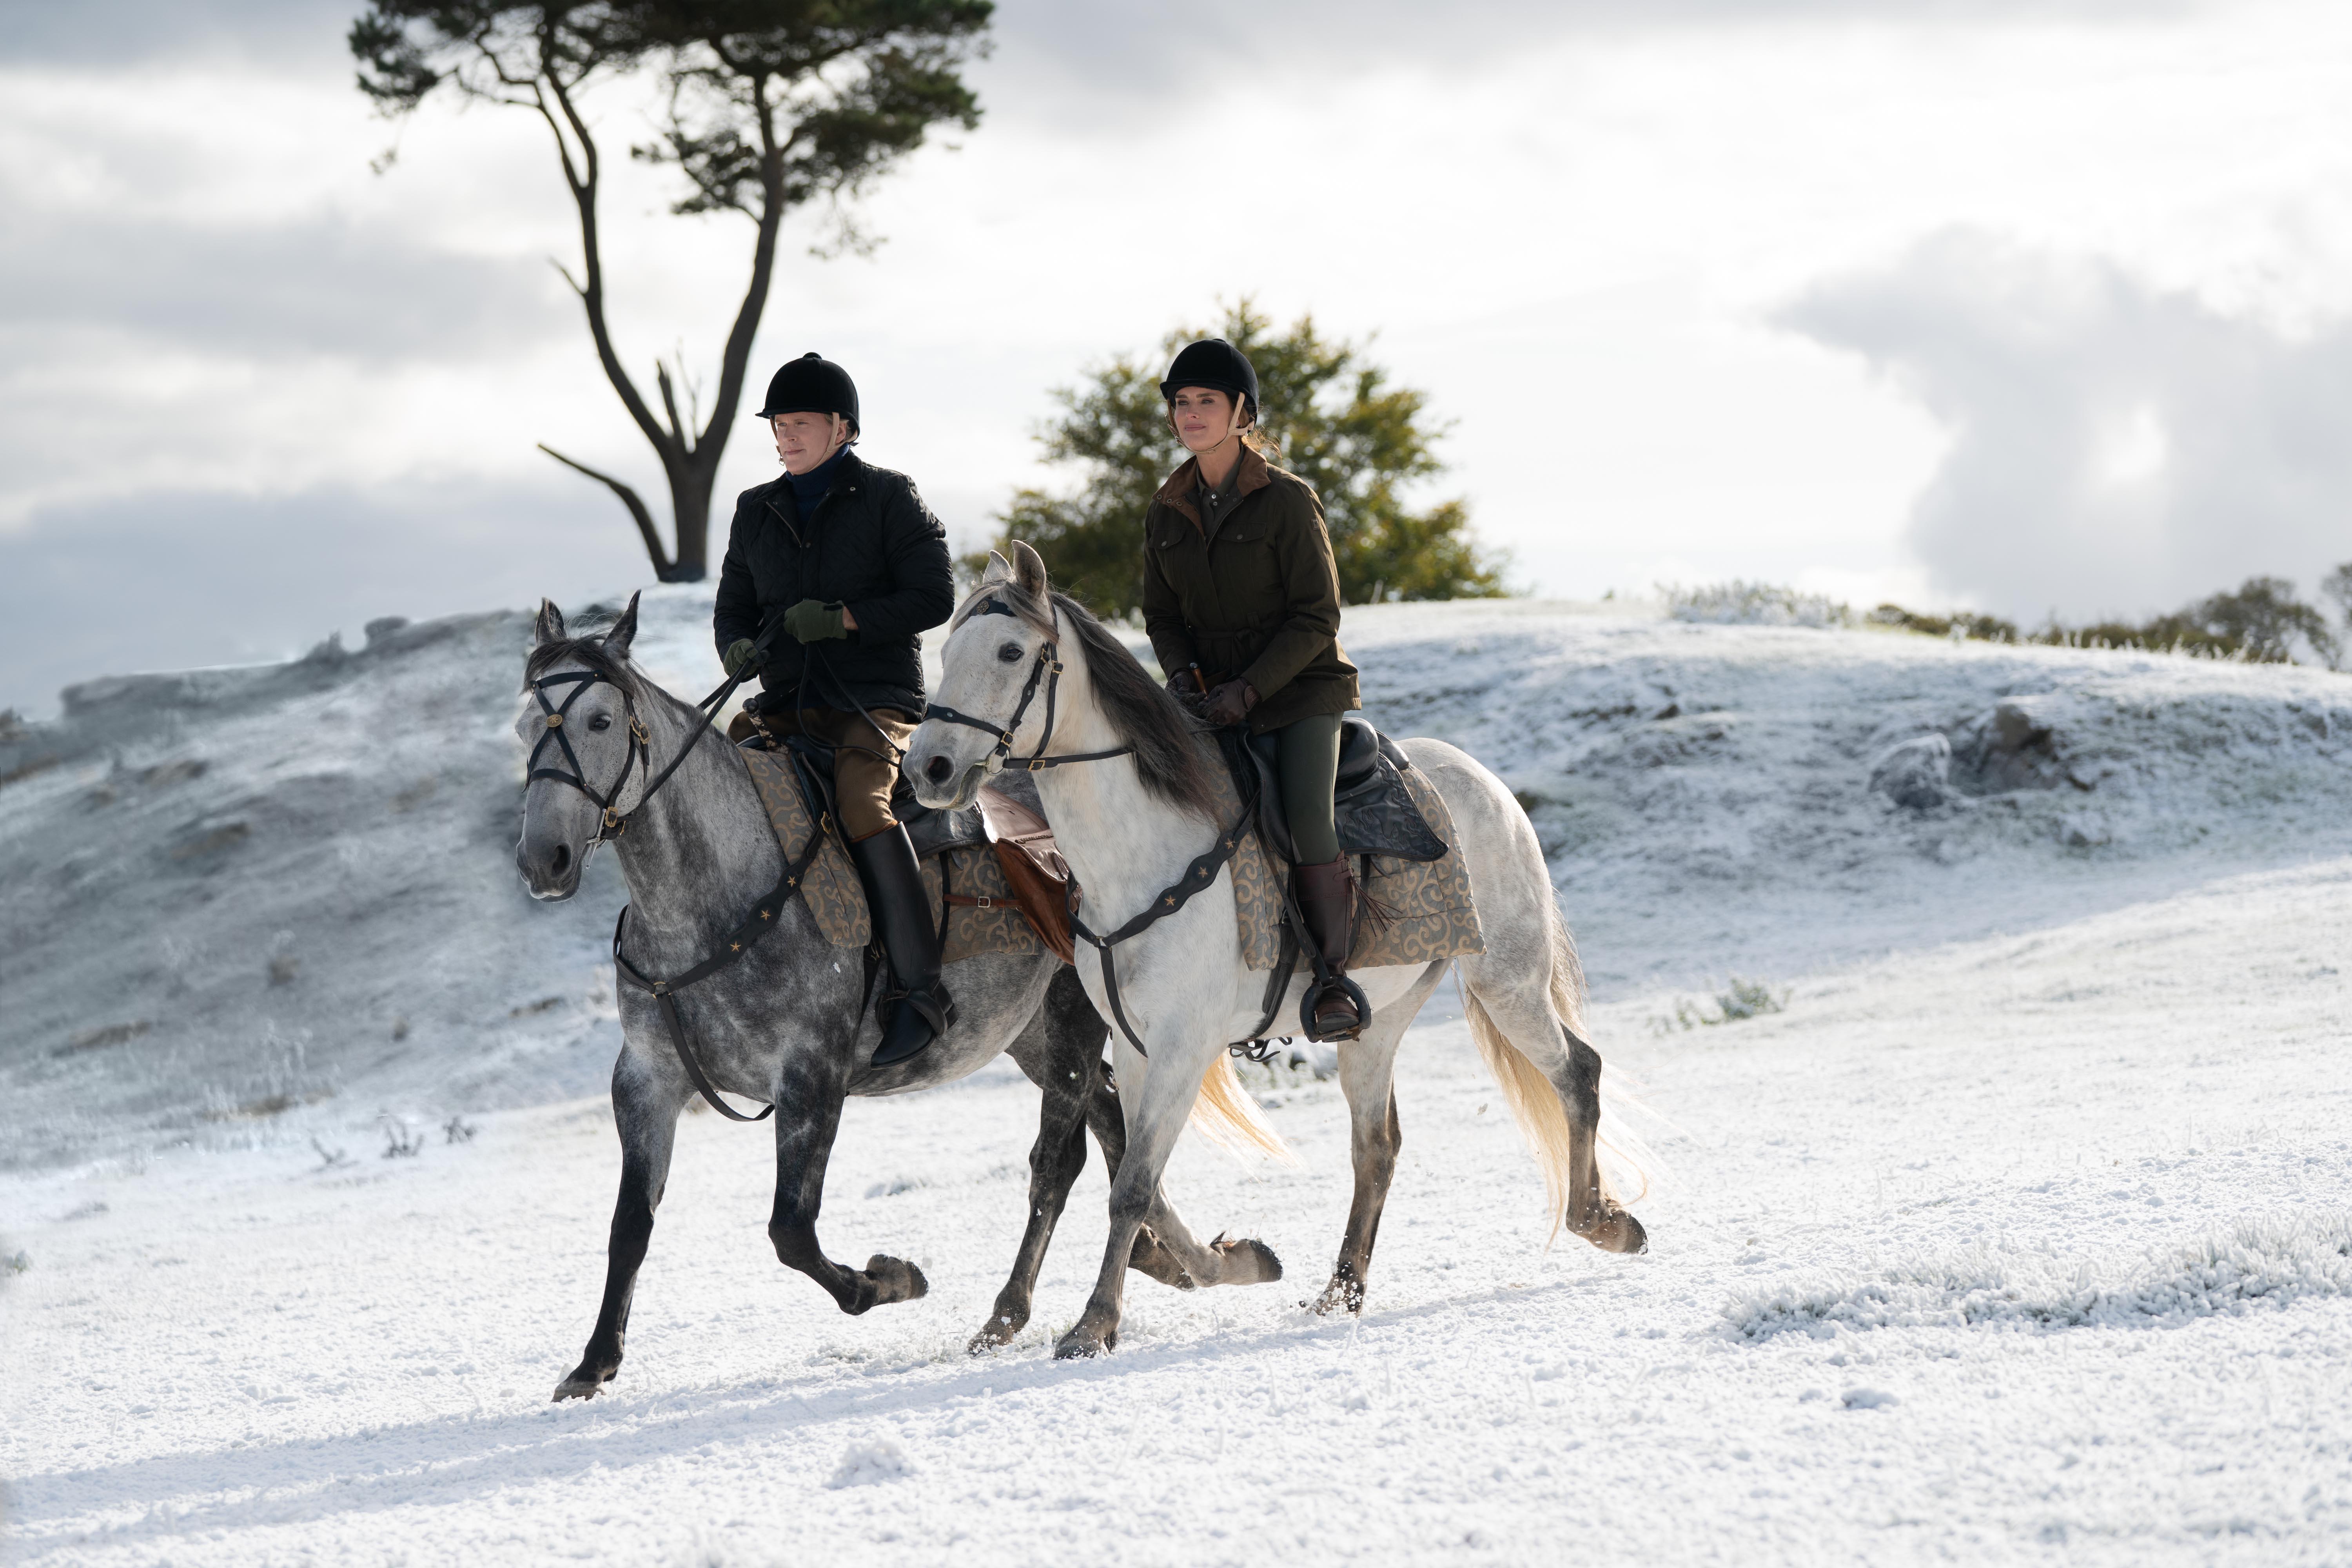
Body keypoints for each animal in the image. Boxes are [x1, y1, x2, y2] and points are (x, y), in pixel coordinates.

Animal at [520, 597, 1289, 1401]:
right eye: (522, 725)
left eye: (600, 721)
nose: (544, 860)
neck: (712, 897)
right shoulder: (646, 1077)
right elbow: (630, 1226)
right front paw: (593, 1363)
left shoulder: (812, 1078)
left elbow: (791, 1231)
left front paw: (890, 1280)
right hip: (1030, 1032)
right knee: (1112, 1130)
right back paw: (1187, 1261)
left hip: (1074, 1016)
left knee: (1065, 1156)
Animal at [908, 545, 1646, 1354]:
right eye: (945, 653)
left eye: (1011, 652)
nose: (929, 770)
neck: (1140, 857)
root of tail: (1483, 780)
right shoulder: (1135, 1050)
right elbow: (1142, 1183)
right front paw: (1235, 1263)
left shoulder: (1182, 1049)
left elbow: (1132, 1187)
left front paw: (1095, 1324)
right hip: (1377, 1021)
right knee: (1377, 1146)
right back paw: (1342, 1290)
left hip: (1508, 982)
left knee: (1578, 1071)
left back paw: (1603, 1222)